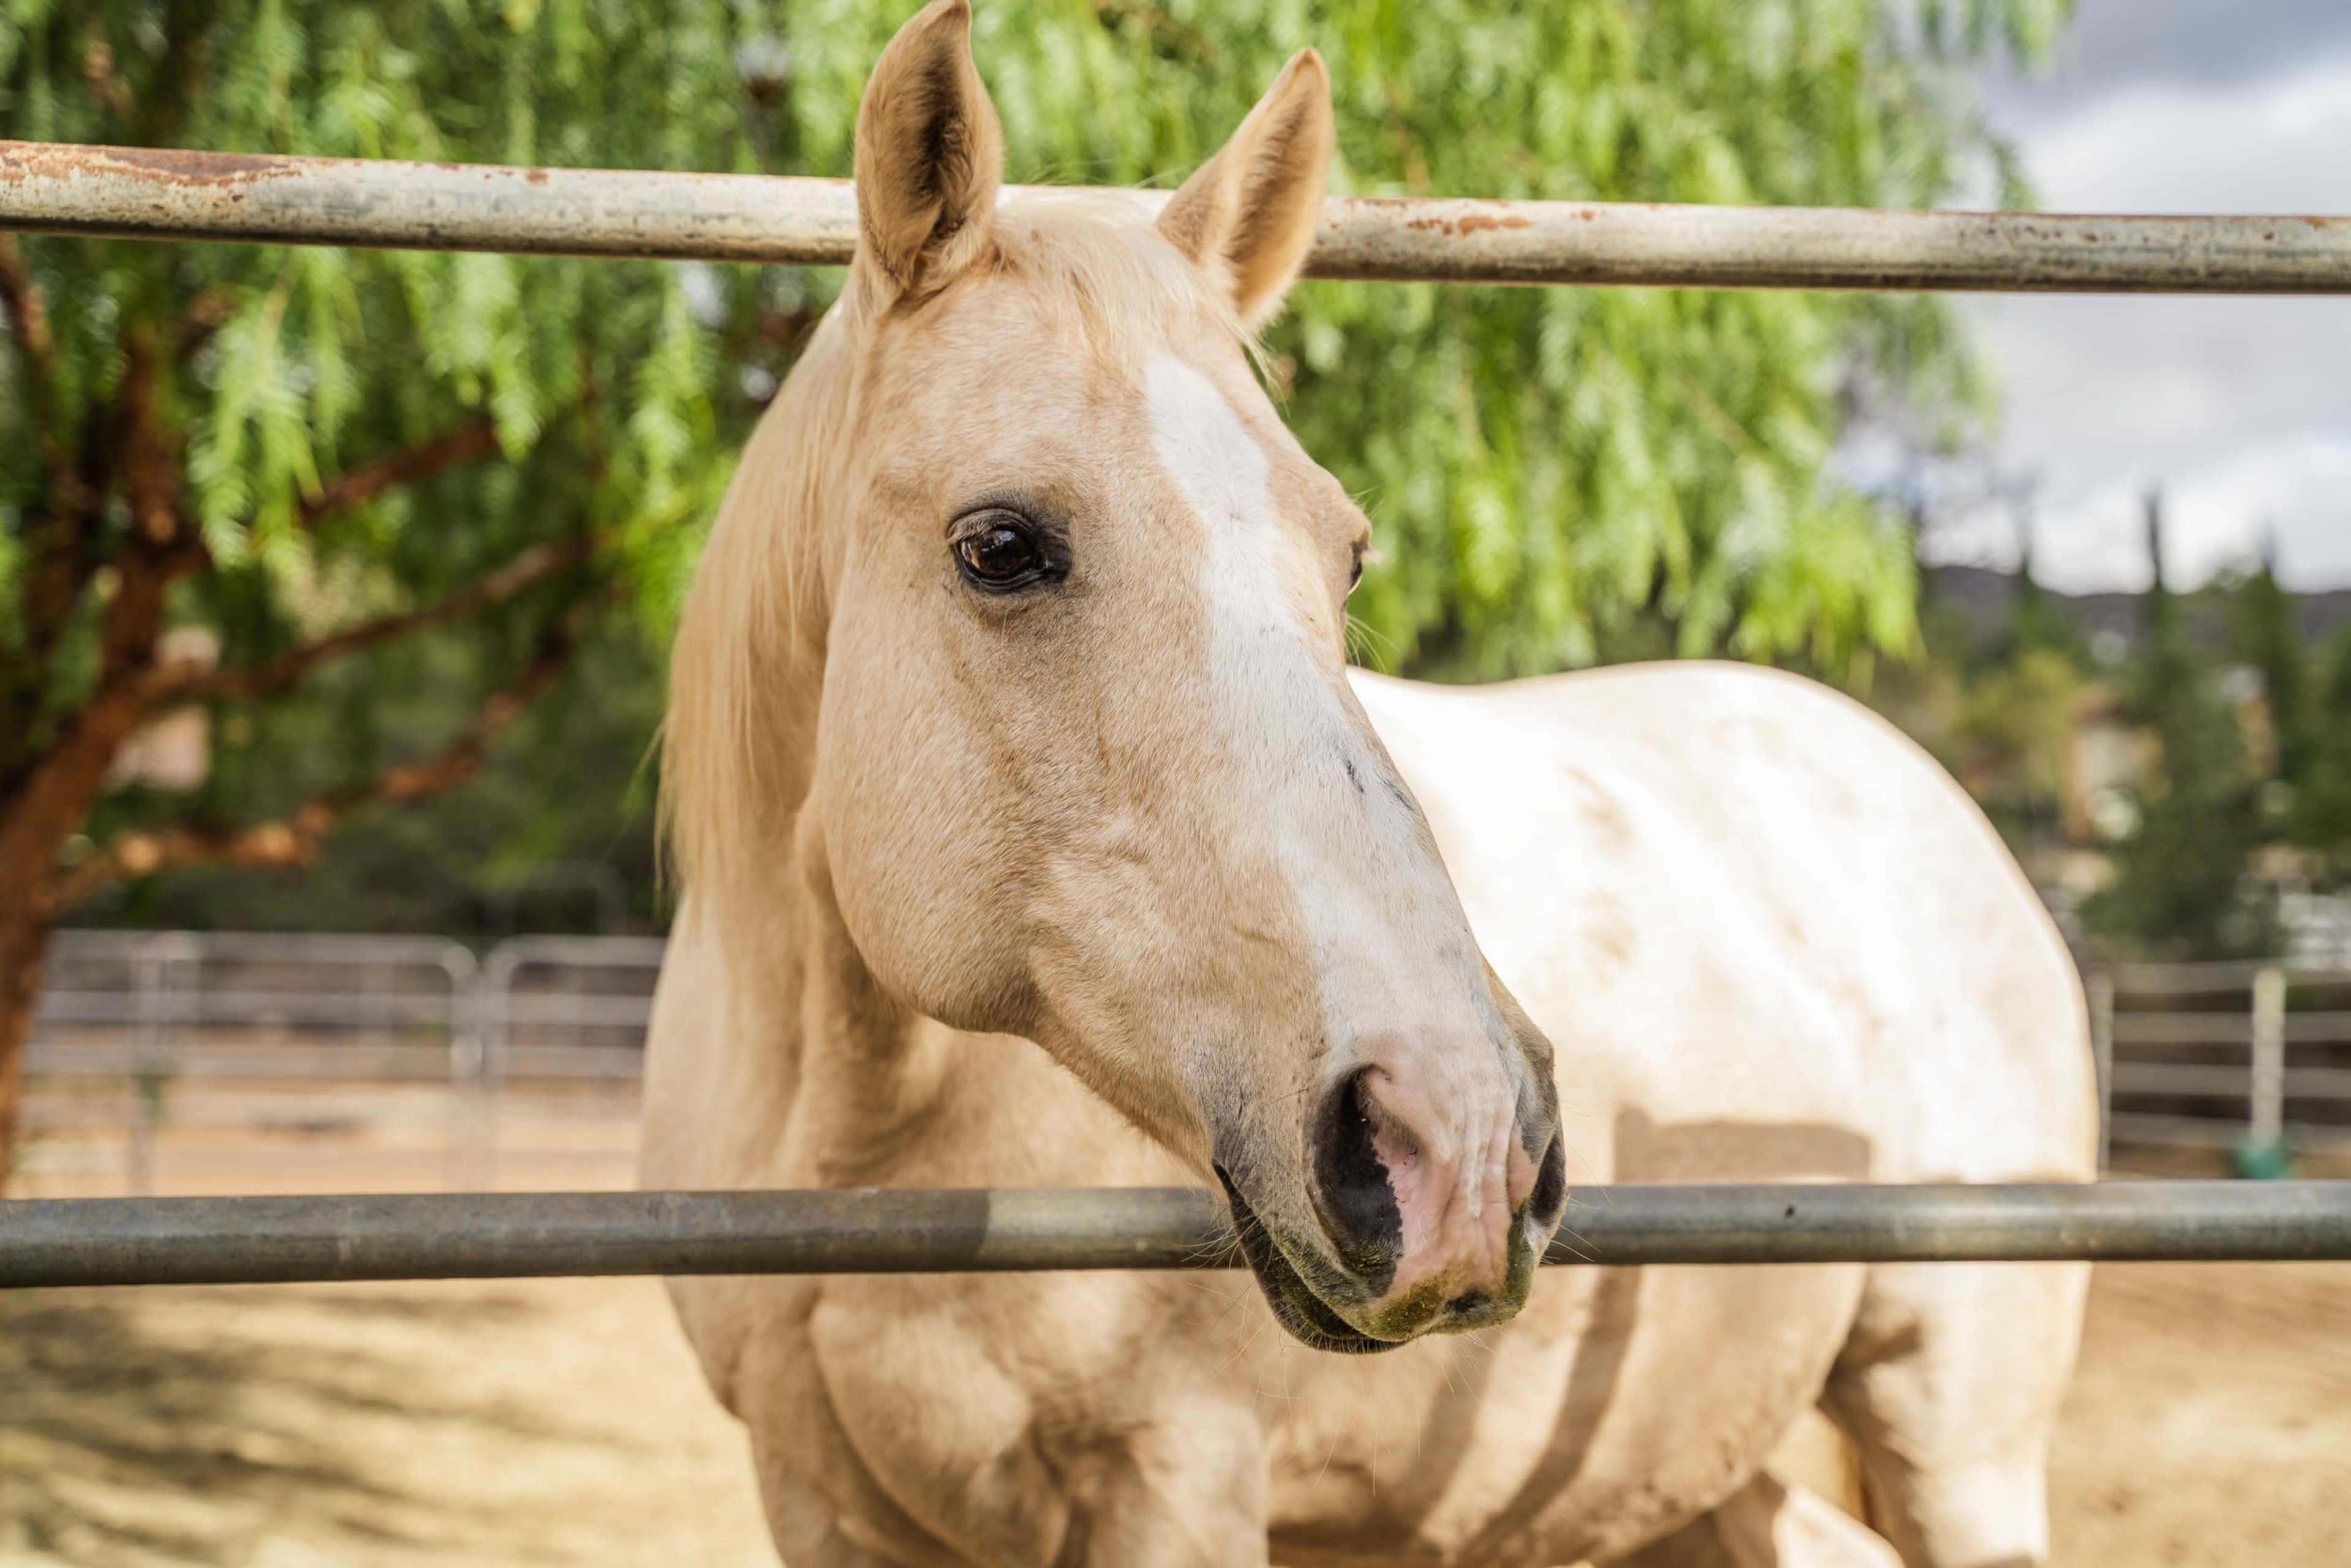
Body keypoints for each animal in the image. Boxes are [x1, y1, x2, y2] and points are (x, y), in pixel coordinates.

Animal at [641, 4, 2096, 1562]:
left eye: (1346, 554)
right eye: (999, 545)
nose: (1460, 1141)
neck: (862, 1133)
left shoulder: (1181, 1472)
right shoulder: (816, 1495)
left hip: (1961, 1446)